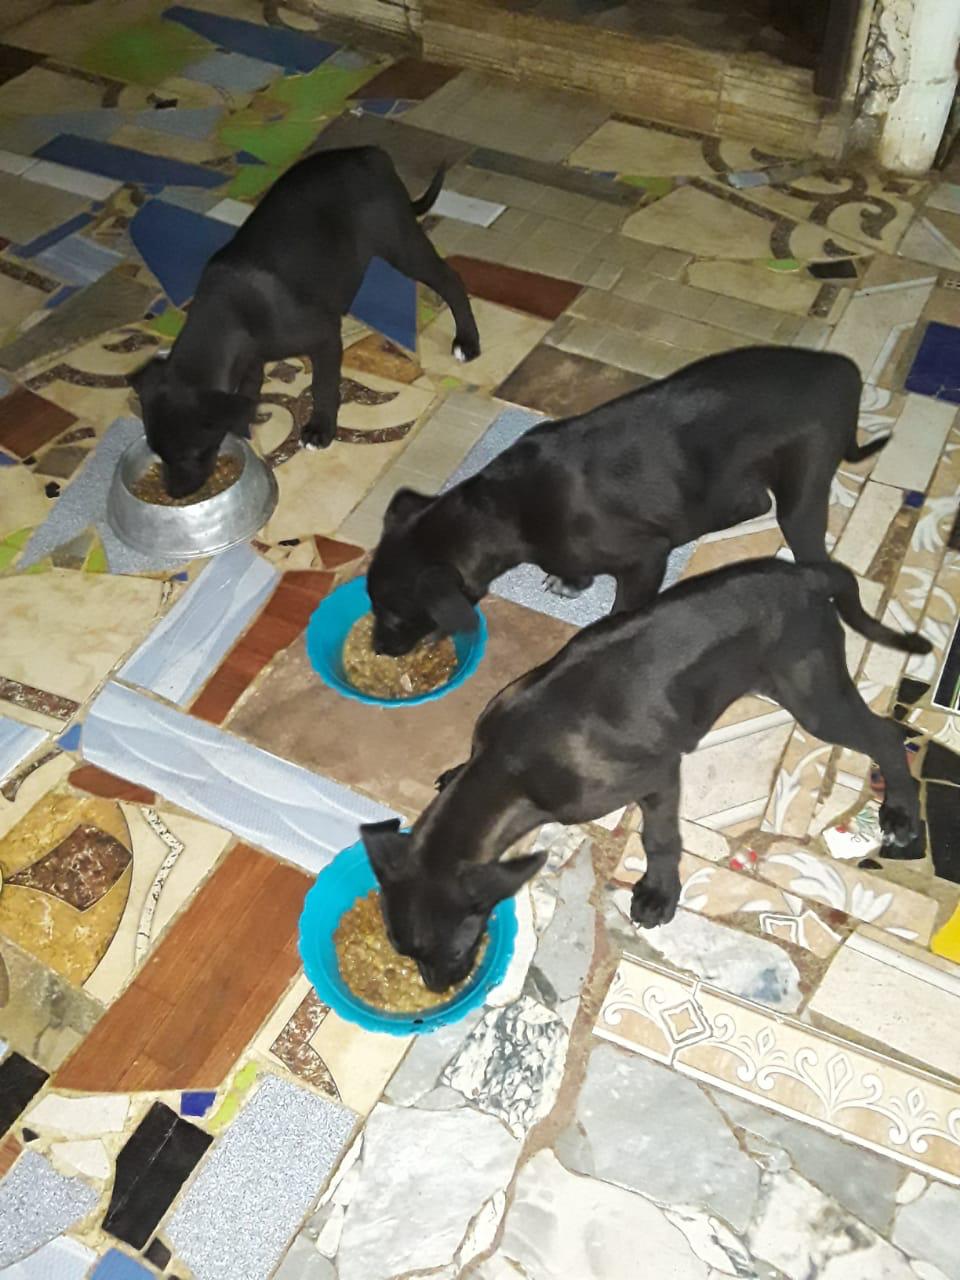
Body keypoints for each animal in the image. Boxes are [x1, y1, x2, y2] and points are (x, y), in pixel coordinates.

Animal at [128, 146, 480, 497]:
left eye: (192, 453)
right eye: (157, 452)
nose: (175, 493)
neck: (225, 317)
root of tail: (370, 153)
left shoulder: (325, 339)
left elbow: (323, 386)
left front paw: (320, 429)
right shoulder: (250, 358)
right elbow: (249, 389)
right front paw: (245, 423)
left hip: (401, 244)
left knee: (450, 280)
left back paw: (467, 340)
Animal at [360, 558, 929, 991]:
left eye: (448, 948)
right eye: (401, 948)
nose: (438, 988)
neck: (504, 768)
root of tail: (807, 574)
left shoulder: (658, 775)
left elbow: (660, 838)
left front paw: (658, 891)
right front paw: (454, 768)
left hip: (814, 700)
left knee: (885, 737)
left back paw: (901, 813)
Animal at [366, 346, 884, 655]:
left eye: (396, 615)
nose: (377, 649)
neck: (503, 508)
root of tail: (845, 371)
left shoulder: (644, 561)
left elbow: (620, 614)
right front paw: (570, 581)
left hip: (802, 494)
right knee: (750, 503)